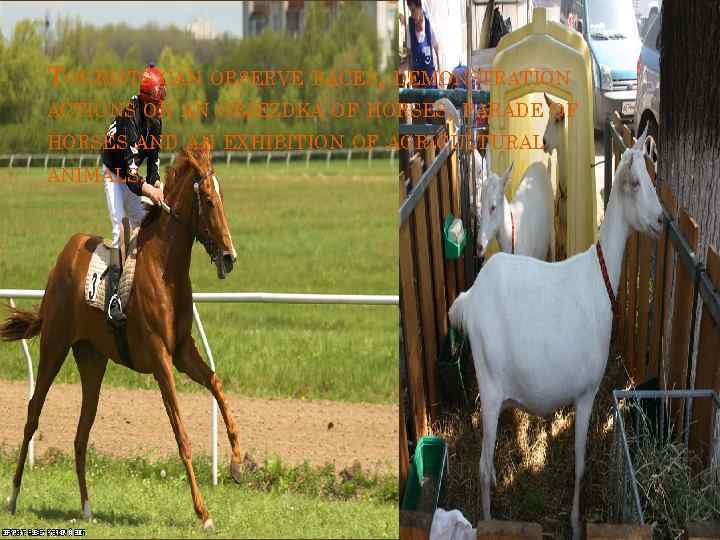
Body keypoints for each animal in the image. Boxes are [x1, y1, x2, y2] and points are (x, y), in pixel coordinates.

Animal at [0, 141, 239, 529]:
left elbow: (217, 386)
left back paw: (86, 507)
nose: (230, 257)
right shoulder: (160, 358)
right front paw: (203, 513)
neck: (164, 267)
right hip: (54, 346)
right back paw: (13, 495)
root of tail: (63, 259)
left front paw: (238, 461)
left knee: (82, 432)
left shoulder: (182, 351)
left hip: (92, 360)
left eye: (220, 196)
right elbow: (181, 433)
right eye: (206, 199)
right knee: (33, 412)